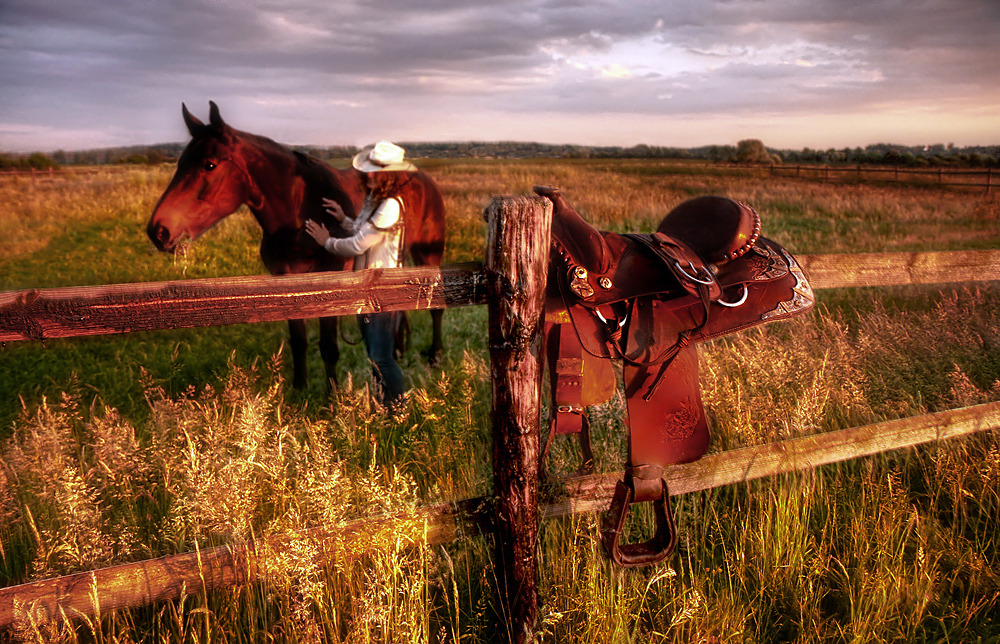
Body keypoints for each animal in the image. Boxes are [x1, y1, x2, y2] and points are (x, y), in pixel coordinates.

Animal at [147, 103, 446, 390]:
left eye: (209, 165)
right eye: (180, 163)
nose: (158, 230)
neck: (300, 212)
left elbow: (328, 346)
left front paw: (332, 395)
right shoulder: (286, 280)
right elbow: (298, 341)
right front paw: (300, 391)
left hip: (429, 254)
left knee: (436, 308)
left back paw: (435, 357)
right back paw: (398, 352)